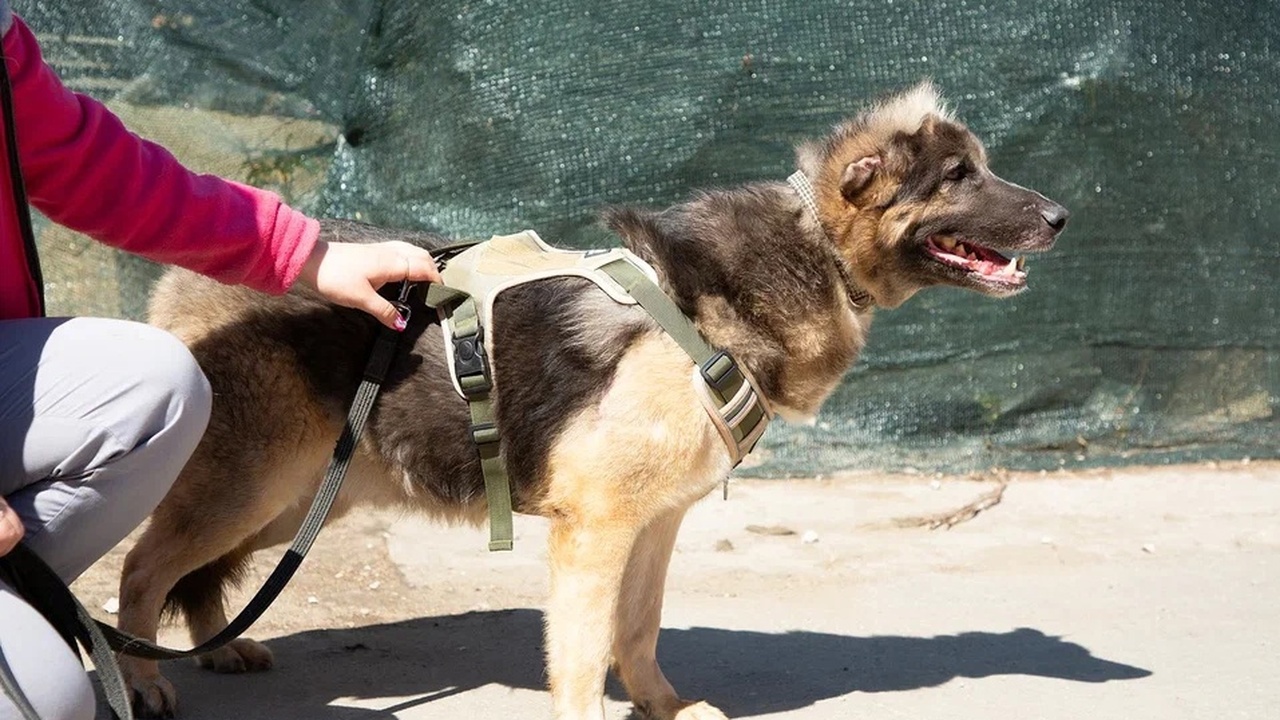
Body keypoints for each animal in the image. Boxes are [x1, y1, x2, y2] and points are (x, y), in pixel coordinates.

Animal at [115, 81, 1064, 712]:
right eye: (958, 176)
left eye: (981, 167)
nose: (1060, 218)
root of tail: (181, 280)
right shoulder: (594, 533)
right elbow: (581, 653)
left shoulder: (654, 524)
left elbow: (635, 632)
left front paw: (664, 706)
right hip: (255, 487)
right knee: (141, 567)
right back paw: (142, 681)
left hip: (298, 498)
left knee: (187, 571)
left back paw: (214, 650)